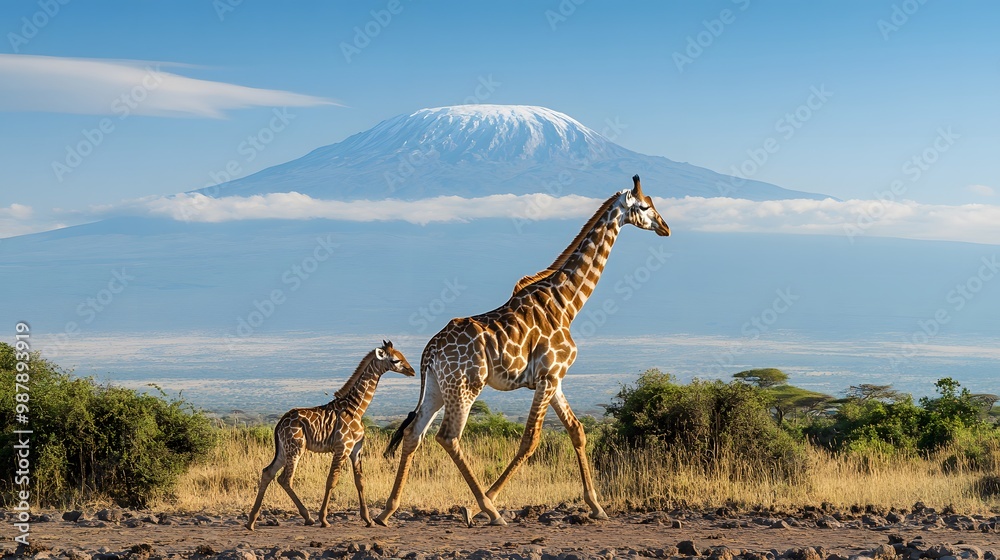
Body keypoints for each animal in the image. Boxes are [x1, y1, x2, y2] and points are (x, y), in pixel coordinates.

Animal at [246, 340, 415, 531]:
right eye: (395, 360)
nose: (412, 371)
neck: (357, 408)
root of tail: (279, 424)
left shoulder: (356, 449)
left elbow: (360, 481)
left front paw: (368, 519)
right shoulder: (342, 447)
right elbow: (332, 480)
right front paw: (324, 519)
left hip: (284, 450)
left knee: (268, 472)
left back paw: (251, 521)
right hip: (295, 448)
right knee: (285, 479)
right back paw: (308, 517)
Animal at [375, 175, 670, 527]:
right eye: (645, 207)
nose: (666, 227)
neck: (567, 303)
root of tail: (428, 352)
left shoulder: (554, 380)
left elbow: (577, 431)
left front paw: (596, 506)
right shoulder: (548, 377)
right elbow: (530, 440)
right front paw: (478, 505)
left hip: (436, 387)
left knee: (413, 434)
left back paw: (387, 510)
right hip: (465, 386)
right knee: (447, 436)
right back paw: (489, 511)